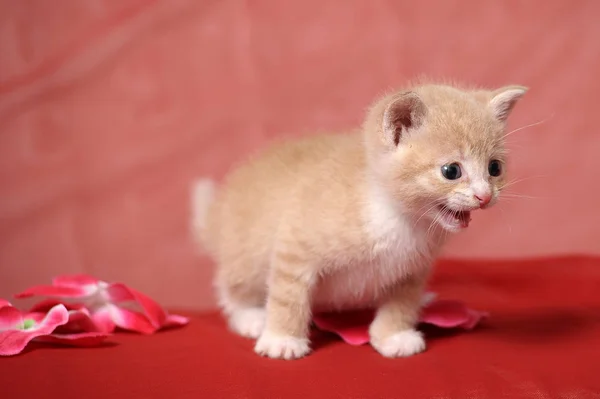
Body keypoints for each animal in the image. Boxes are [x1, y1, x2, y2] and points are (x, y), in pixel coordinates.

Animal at [191, 81, 524, 360]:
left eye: (494, 168)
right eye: (451, 171)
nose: (484, 196)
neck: (399, 218)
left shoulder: (412, 269)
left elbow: (402, 301)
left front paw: (393, 336)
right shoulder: (295, 245)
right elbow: (288, 295)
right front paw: (282, 339)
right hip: (245, 252)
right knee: (231, 285)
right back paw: (250, 316)